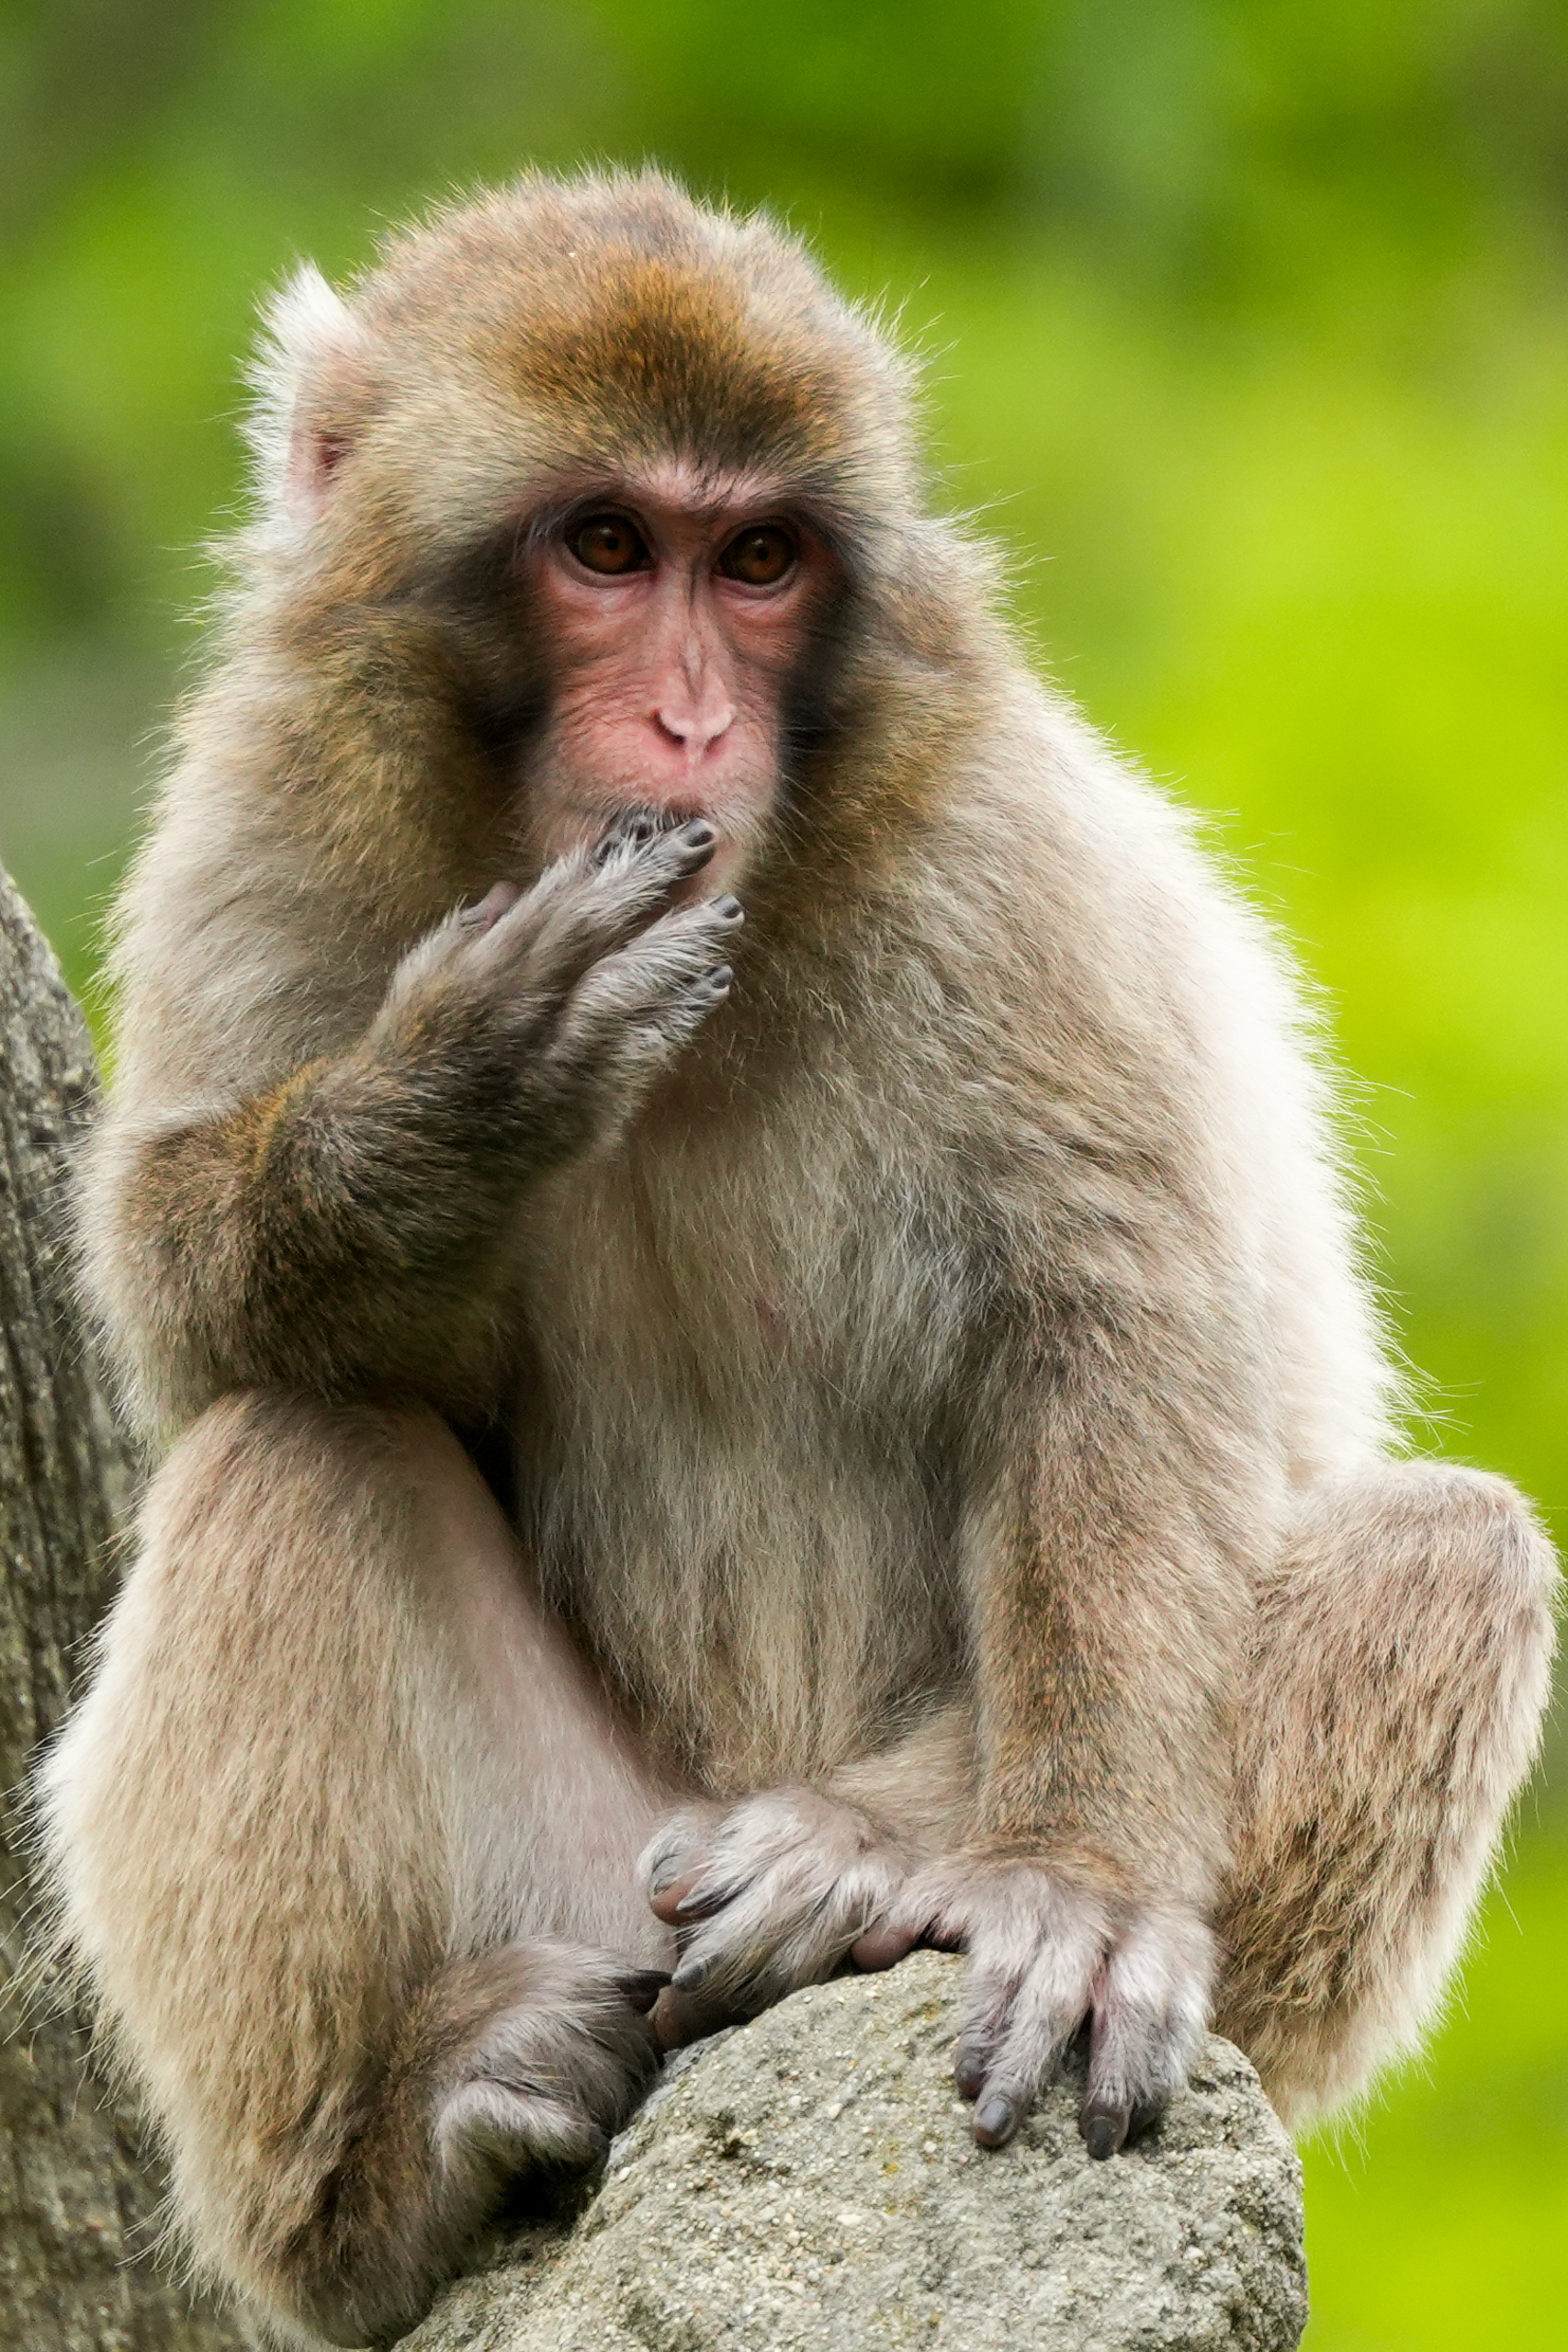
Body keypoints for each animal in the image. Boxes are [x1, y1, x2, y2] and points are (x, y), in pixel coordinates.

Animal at [34, 170, 1555, 2349]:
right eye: (605, 545)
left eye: (756, 561)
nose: (690, 719)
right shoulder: (271, 778)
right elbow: (168, 1292)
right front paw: (450, 1105)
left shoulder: (990, 845)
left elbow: (1116, 1326)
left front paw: (1074, 1879)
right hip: (592, 1890)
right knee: (287, 1448)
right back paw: (389, 2177)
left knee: (1447, 1554)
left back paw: (867, 1866)